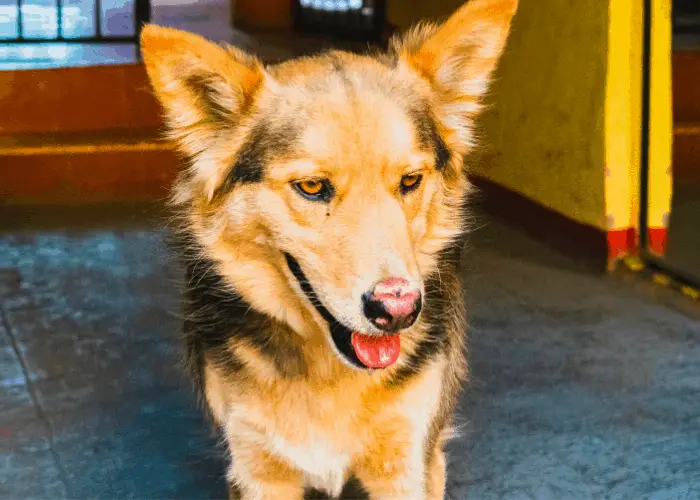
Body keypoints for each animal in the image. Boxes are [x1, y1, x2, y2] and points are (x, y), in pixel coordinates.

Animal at [141, 1, 516, 498]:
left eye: (410, 181)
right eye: (313, 187)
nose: (397, 311)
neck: (329, 374)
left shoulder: (408, 463)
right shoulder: (256, 468)